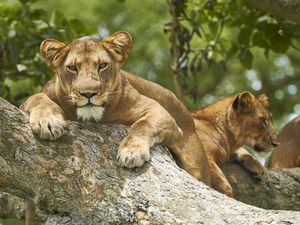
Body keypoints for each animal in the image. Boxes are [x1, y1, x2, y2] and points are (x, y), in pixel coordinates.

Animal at [19, 31, 212, 185]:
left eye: (102, 65)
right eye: (72, 68)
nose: (88, 93)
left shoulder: (160, 112)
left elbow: (142, 125)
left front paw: (131, 152)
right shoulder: (35, 99)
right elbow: (37, 97)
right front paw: (48, 122)